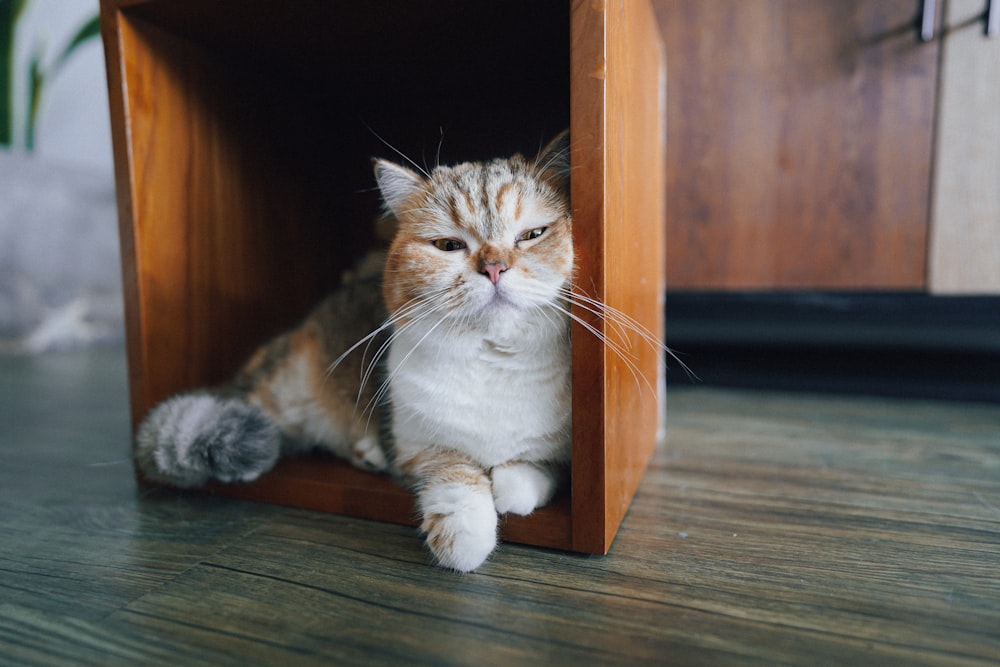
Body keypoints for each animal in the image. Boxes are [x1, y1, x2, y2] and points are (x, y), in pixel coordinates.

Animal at [142, 132, 580, 576]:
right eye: (448, 245)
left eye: (532, 234)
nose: (493, 268)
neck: (491, 360)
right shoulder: (416, 447)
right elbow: (452, 475)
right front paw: (463, 540)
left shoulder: (569, 453)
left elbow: (535, 468)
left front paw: (513, 486)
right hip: (282, 397)